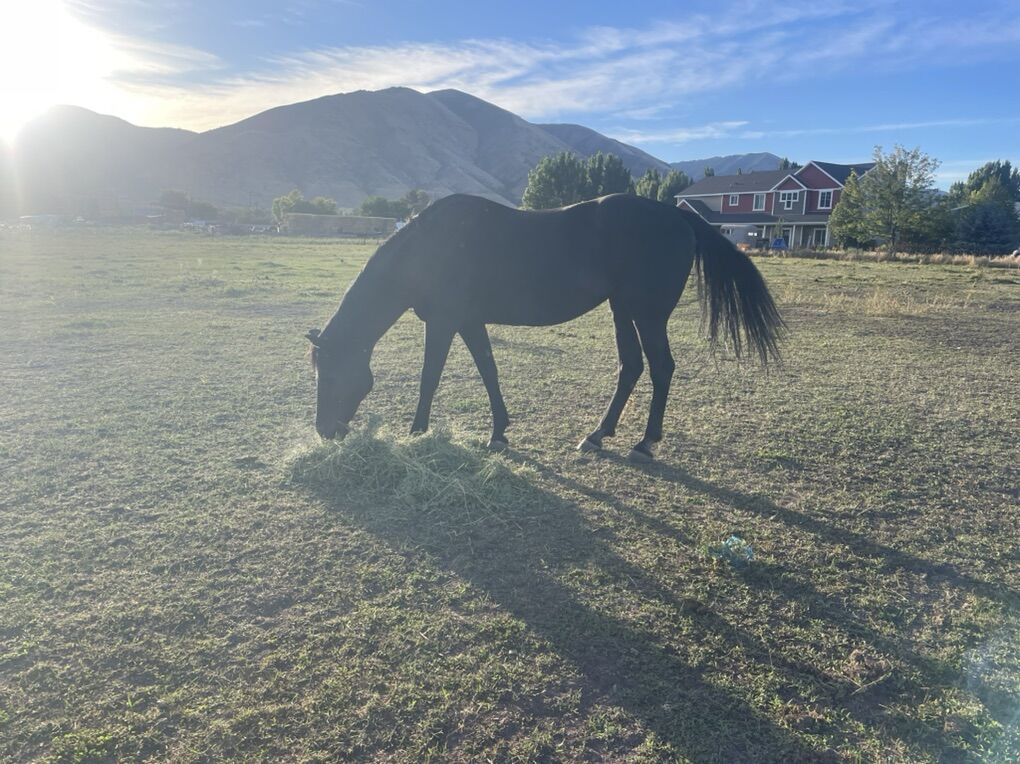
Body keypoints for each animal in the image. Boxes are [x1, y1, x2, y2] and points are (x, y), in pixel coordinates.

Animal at [306, 193, 783, 462]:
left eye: (329, 373)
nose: (325, 430)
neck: (427, 250)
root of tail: (678, 215)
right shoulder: (470, 322)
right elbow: (489, 371)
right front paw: (499, 432)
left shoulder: (443, 323)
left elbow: (430, 379)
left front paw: (416, 433)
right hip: (622, 309)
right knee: (630, 366)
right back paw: (598, 435)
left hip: (647, 314)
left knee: (661, 367)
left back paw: (644, 443)